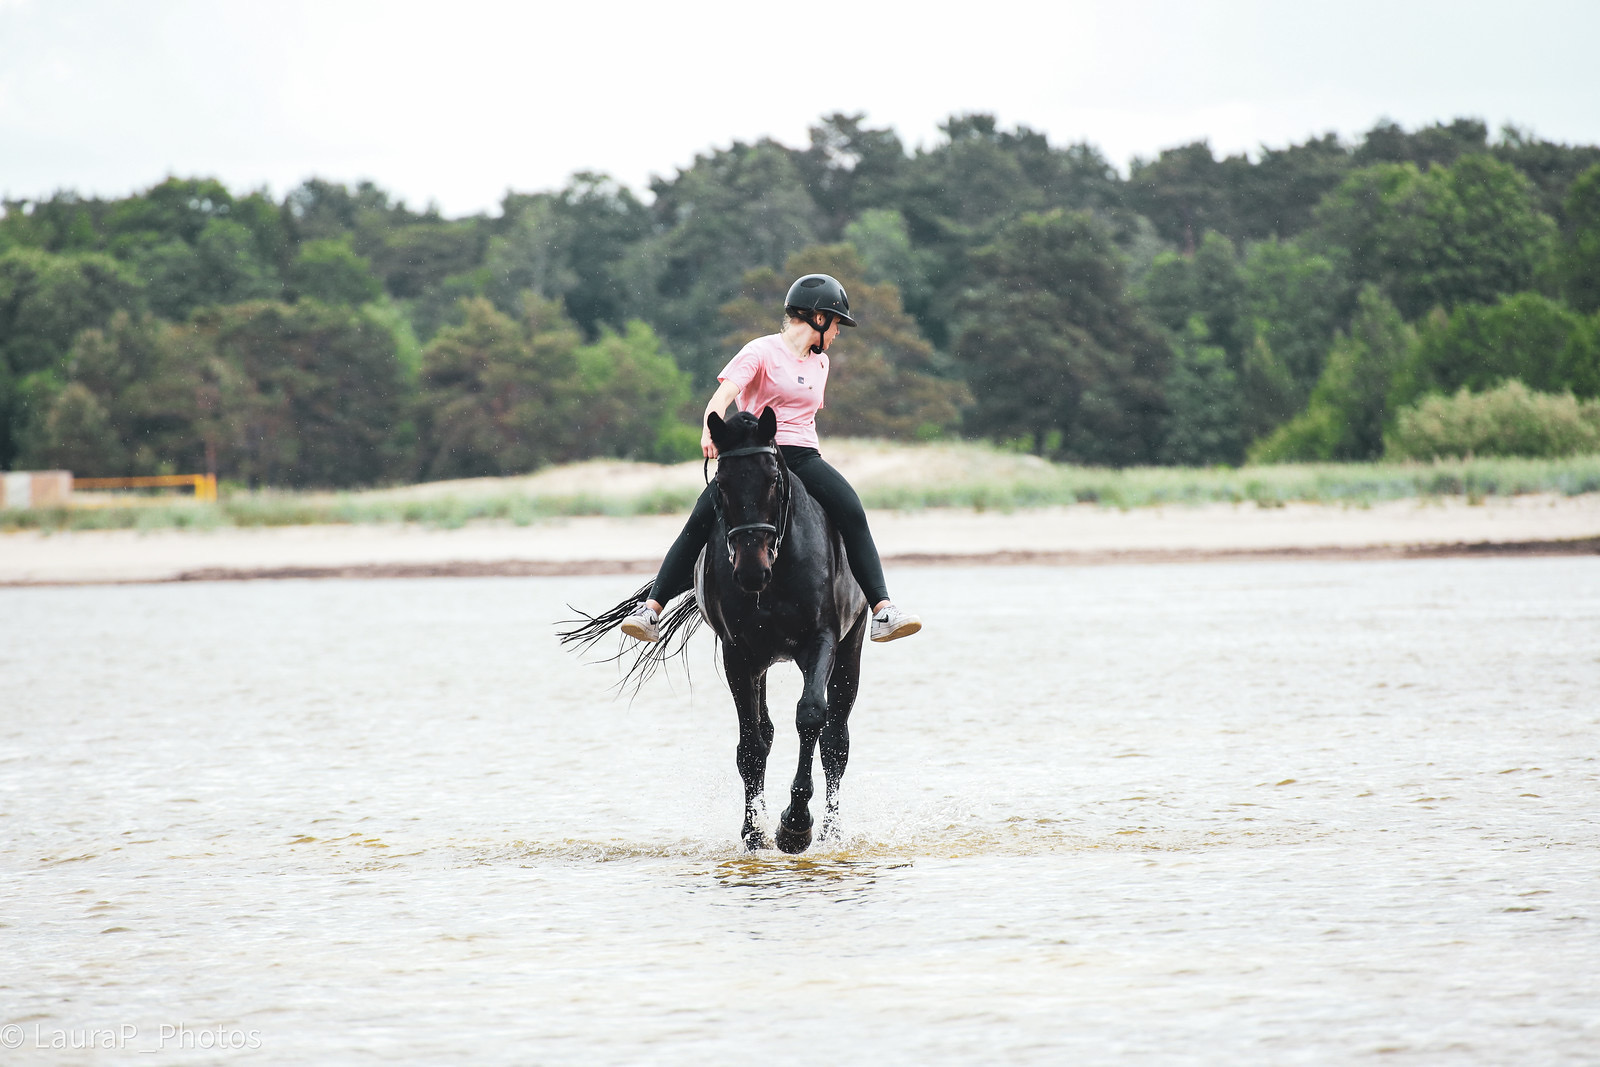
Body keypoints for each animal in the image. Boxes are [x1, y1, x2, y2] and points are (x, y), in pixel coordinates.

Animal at [559, 407, 869, 854]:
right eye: (720, 483)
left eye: (773, 479)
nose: (751, 569)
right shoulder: (738, 653)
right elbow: (751, 744)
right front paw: (755, 833)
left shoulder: (821, 640)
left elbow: (811, 716)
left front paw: (795, 825)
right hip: (762, 662)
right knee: (768, 733)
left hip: (850, 646)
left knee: (835, 742)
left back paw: (831, 834)